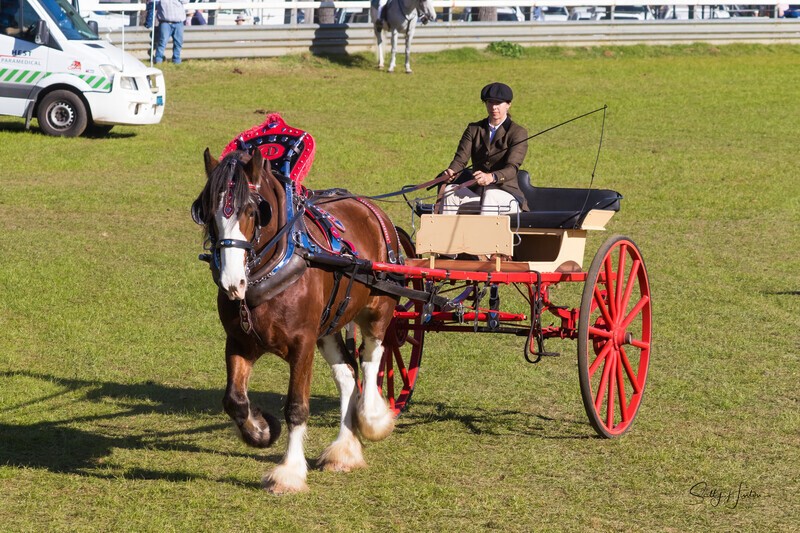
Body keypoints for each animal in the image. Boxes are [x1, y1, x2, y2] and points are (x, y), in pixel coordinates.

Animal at [191, 148, 400, 494]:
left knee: (372, 358)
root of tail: (369, 207)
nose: (232, 282)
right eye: (207, 212)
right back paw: (344, 449)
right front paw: (262, 430)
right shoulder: (238, 341)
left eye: (253, 211)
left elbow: (297, 407)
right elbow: (235, 401)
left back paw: (372, 417)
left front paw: (288, 471)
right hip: (328, 326)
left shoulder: (302, 345)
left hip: (377, 310)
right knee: (347, 373)